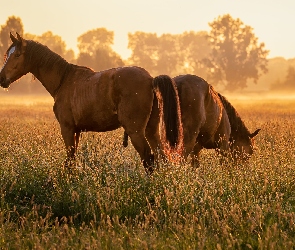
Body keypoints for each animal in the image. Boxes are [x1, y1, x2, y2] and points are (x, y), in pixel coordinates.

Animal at [0, 32, 184, 174]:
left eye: (17, 55)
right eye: (7, 55)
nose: (2, 78)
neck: (64, 80)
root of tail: (150, 79)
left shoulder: (67, 129)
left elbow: (70, 159)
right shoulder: (76, 131)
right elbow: (72, 160)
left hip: (136, 131)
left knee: (148, 158)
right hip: (151, 130)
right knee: (160, 156)